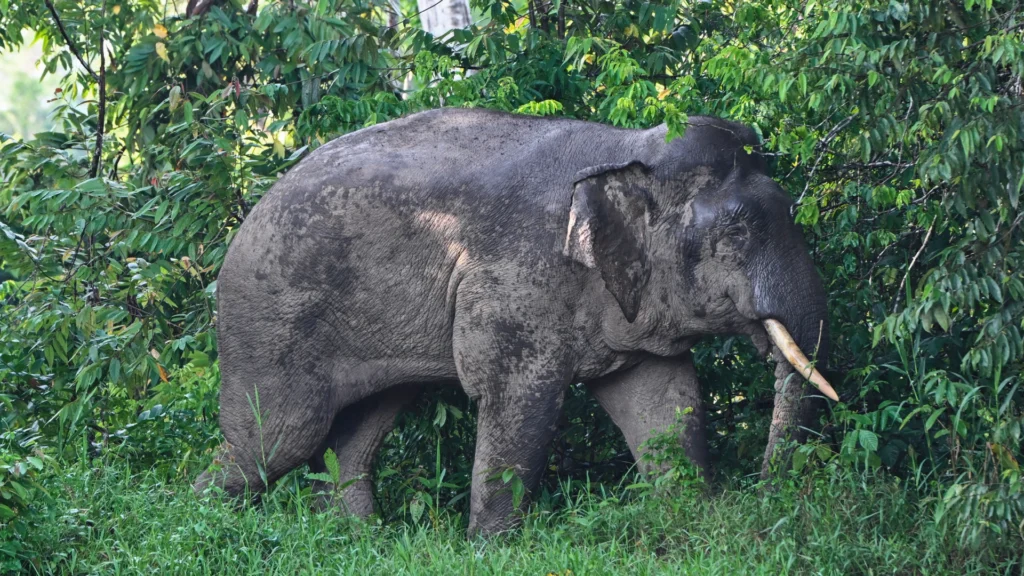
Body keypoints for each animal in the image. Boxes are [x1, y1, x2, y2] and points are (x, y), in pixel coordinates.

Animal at [193, 107, 836, 536]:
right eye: (737, 232)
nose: (768, 494)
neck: (627, 150)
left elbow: (661, 400)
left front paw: (695, 518)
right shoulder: (516, 281)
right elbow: (518, 396)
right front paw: (492, 549)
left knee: (355, 436)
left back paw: (361, 542)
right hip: (268, 319)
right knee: (276, 439)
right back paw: (198, 522)